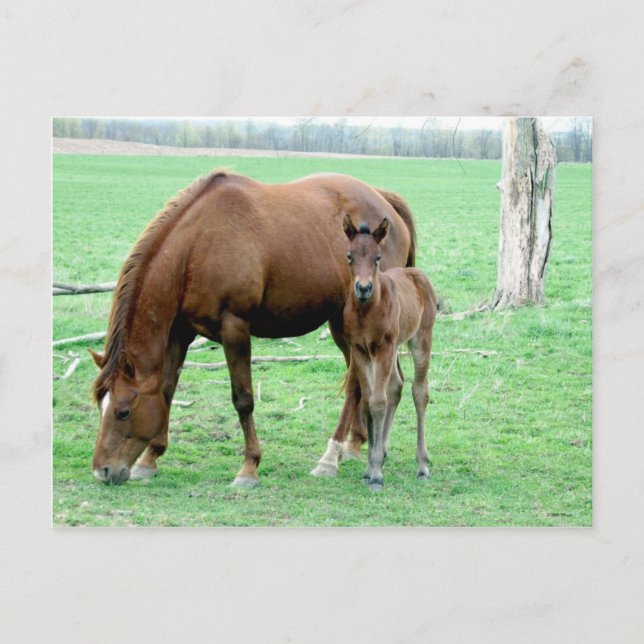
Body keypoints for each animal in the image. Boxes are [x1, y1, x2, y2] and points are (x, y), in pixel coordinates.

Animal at [89, 169, 417, 487]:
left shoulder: (234, 328)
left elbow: (243, 399)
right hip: (346, 325)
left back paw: (331, 457)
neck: (198, 246)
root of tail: (384, 201)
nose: (102, 471)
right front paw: (150, 459)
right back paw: (355, 445)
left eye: (123, 411)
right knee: (365, 380)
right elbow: (167, 390)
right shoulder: (180, 332)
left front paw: (249, 467)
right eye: (100, 407)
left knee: (358, 385)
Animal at [313, 208, 436, 491]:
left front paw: (377, 474)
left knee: (419, 391)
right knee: (397, 385)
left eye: (377, 258)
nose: (363, 288)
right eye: (349, 256)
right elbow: (368, 401)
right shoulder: (360, 349)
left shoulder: (383, 347)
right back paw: (386, 451)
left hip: (420, 340)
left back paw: (422, 465)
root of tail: (417, 274)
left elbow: (378, 402)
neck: (366, 311)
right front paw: (370, 468)